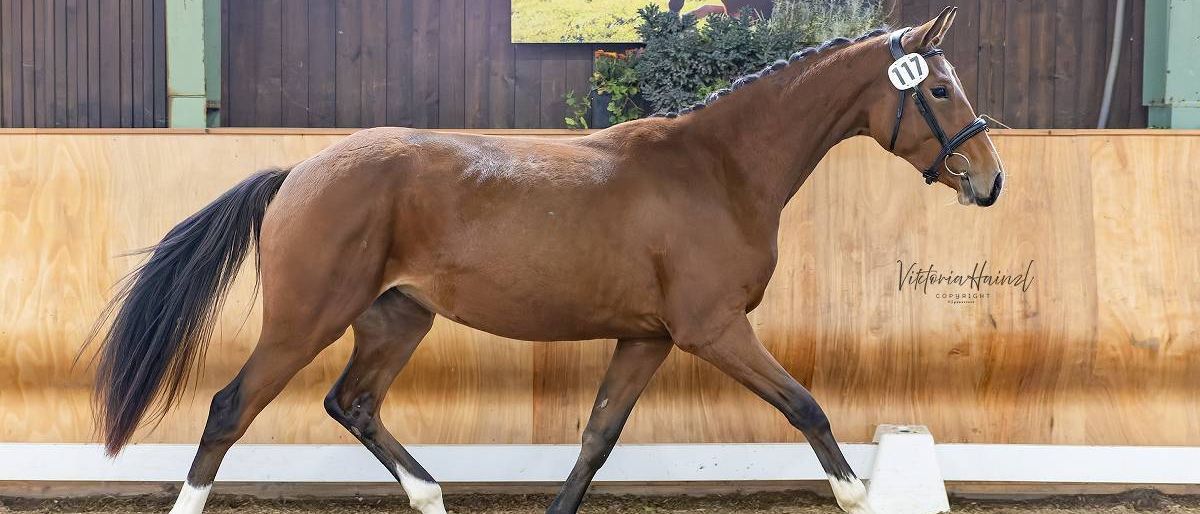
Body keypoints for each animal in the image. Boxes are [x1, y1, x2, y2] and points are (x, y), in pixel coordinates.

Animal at [89, 7, 1002, 514]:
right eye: (940, 89)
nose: (990, 182)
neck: (719, 167)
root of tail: (299, 173)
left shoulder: (649, 338)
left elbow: (596, 440)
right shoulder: (712, 330)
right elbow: (806, 407)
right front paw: (859, 495)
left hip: (395, 319)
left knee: (352, 405)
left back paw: (431, 497)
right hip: (305, 318)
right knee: (229, 410)